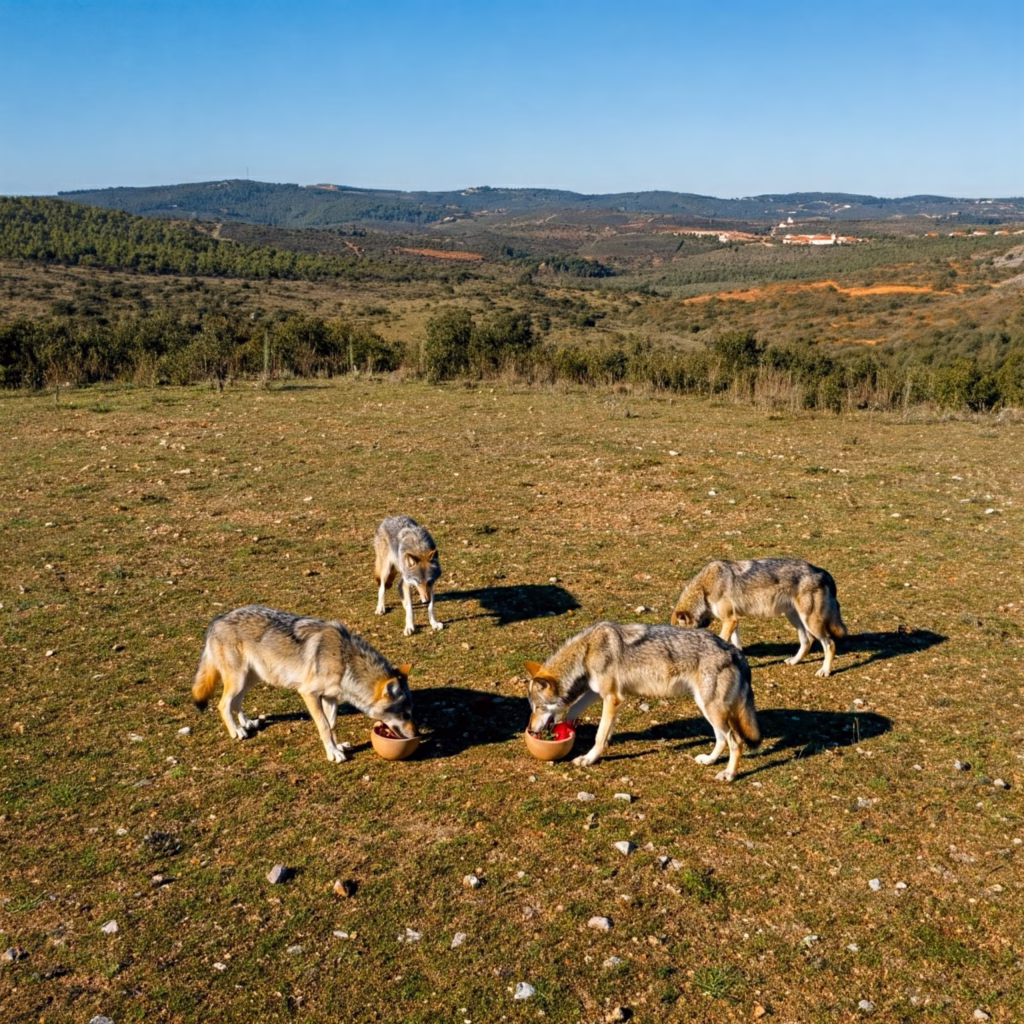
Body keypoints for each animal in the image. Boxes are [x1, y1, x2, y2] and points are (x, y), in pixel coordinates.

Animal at [191, 605, 417, 762]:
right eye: (405, 715)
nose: (417, 735)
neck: (344, 660)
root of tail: (216, 621)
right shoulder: (308, 693)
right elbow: (324, 725)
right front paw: (333, 754)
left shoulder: (331, 698)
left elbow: (332, 724)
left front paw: (337, 747)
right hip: (239, 680)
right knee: (223, 704)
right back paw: (236, 731)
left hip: (251, 679)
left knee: (236, 703)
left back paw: (246, 724)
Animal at [525, 622, 761, 781]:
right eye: (532, 708)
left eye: (538, 707)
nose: (532, 730)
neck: (588, 650)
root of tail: (734, 650)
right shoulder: (598, 692)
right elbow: (574, 710)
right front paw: (567, 728)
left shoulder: (612, 697)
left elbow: (599, 736)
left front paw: (589, 759)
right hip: (707, 709)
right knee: (722, 740)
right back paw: (709, 760)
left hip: (712, 710)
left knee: (736, 741)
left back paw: (729, 774)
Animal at [670, 557, 847, 677]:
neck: (704, 590)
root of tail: (820, 570)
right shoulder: (734, 621)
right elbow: (736, 645)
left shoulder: (730, 620)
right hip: (795, 619)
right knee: (808, 641)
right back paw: (794, 661)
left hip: (809, 621)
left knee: (829, 643)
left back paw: (824, 671)